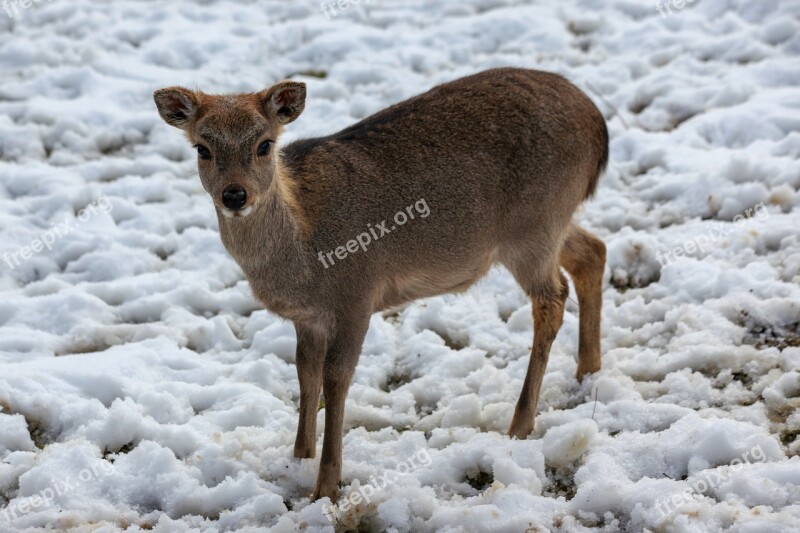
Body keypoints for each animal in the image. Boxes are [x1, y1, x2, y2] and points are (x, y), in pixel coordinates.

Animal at [155, 67, 608, 502]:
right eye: (202, 148)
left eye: (264, 144)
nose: (235, 195)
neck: (303, 257)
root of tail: (598, 127)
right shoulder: (309, 317)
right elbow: (305, 373)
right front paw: (298, 457)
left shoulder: (357, 293)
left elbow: (337, 378)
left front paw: (326, 486)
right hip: (550, 225)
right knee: (594, 251)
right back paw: (588, 368)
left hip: (535, 225)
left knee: (553, 298)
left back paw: (521, 422)